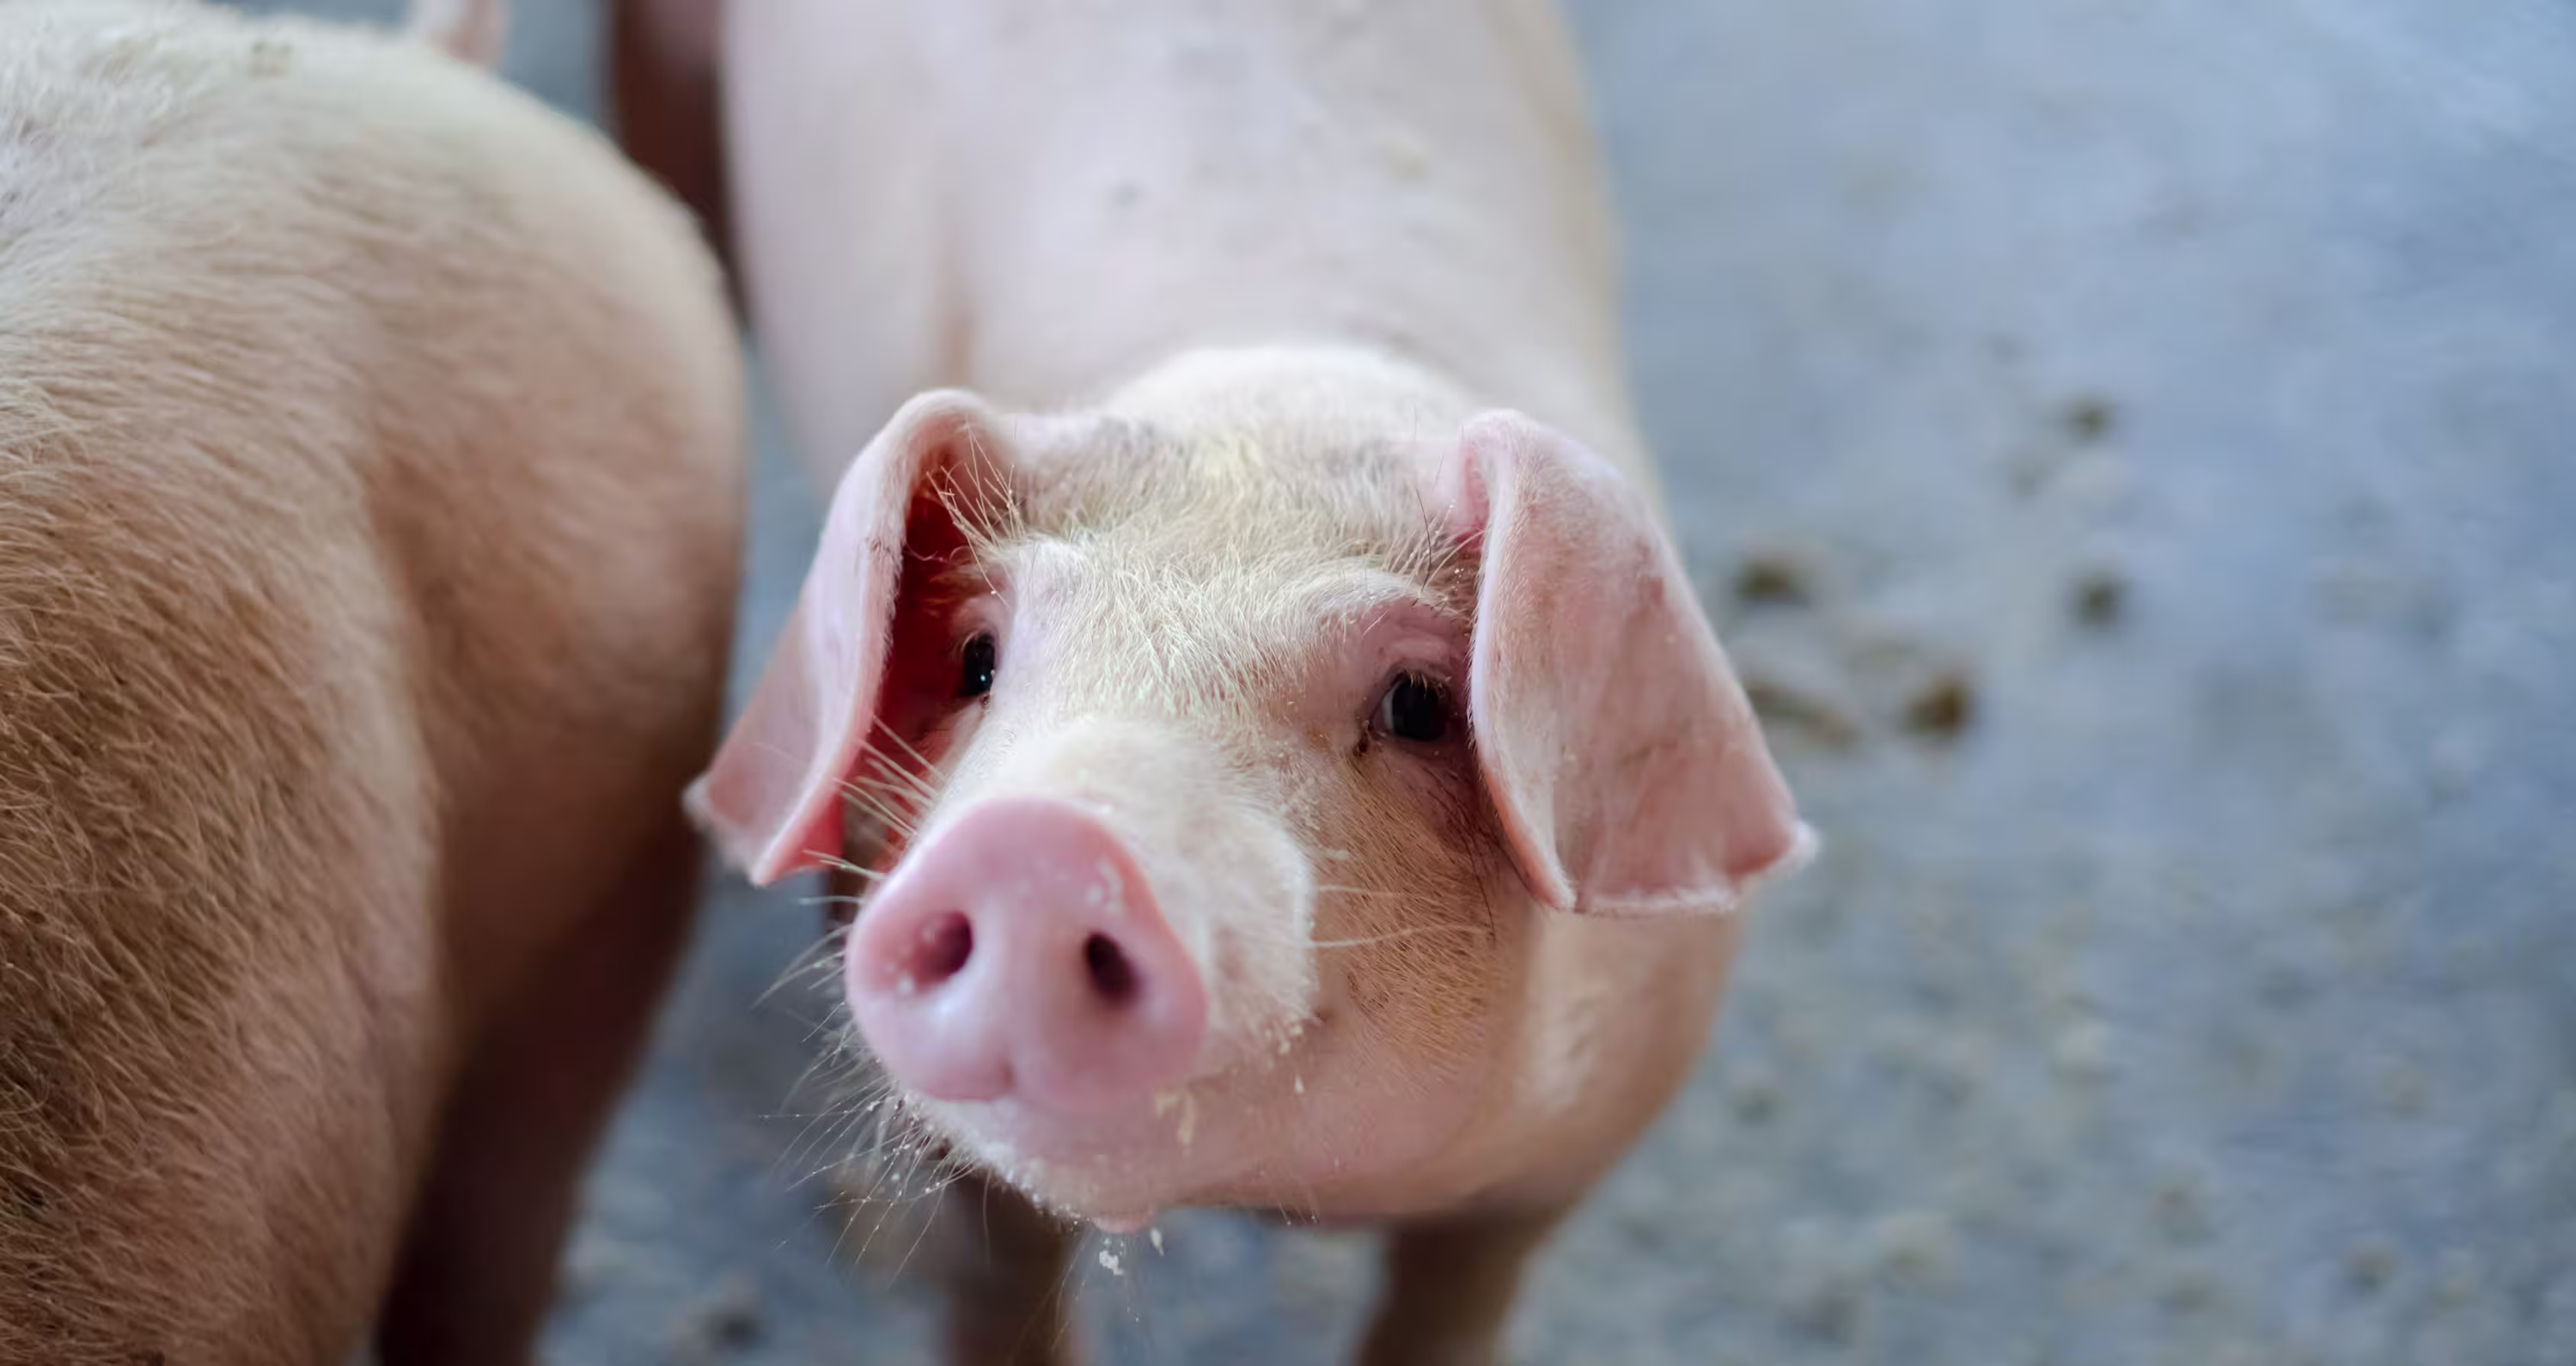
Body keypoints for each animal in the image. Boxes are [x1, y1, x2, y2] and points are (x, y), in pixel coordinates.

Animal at [611, 0, 1810, 1360]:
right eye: (978, 657)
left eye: (1417, 701)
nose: (1044, 843)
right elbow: (997, 1284)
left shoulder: (1560, 1167)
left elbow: (1449, 1311)